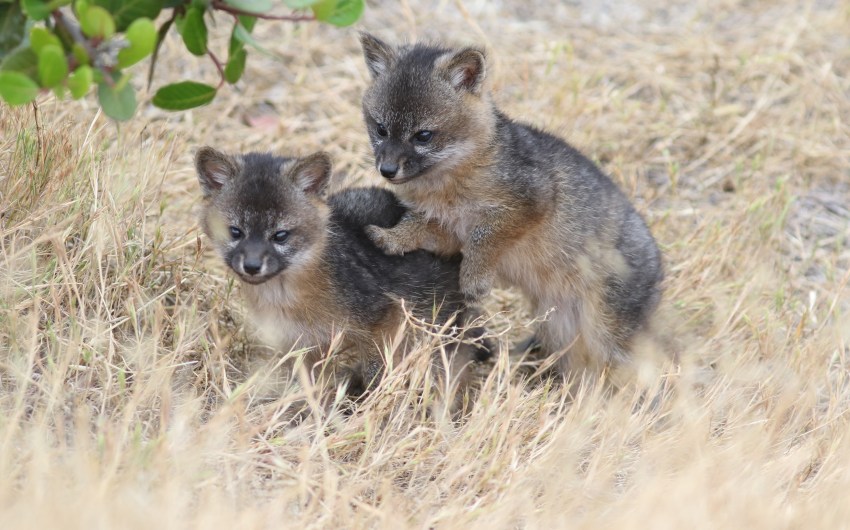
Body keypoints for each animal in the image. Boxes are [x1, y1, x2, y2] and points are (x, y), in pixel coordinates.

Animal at [195, 147, 490, 403]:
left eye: (280, 235)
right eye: (235, 232)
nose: (252, 265)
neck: (286, 299)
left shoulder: (382, 322)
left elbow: (376, 373)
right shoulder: (299, 346)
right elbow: (309, 387)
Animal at [358, 34, 664, 377]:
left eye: (423, 135)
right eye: (381, 129)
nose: (387, 170)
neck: (450, 181)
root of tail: (659, 266)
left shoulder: (529, 204)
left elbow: (486, 239)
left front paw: (475, 280)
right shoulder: (446, 229)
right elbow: (413, 228)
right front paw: (391, 238)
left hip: (603, 336)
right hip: (560, 331)